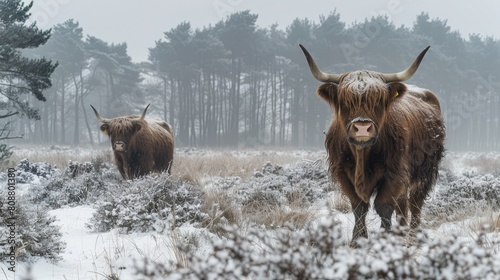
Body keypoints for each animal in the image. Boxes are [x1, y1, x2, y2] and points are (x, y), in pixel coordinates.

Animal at [300, 44, 446, 246]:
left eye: (378, 100)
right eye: (345, 101)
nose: (362, 128)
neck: (362, 155)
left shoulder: (395, 173)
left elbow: (383, 205)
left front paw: (385, 239)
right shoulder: (343, 173)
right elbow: (359, 207)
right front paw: (357, 240)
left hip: (425, 171)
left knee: (415, 202)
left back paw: (412, 236)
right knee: (403, 204)